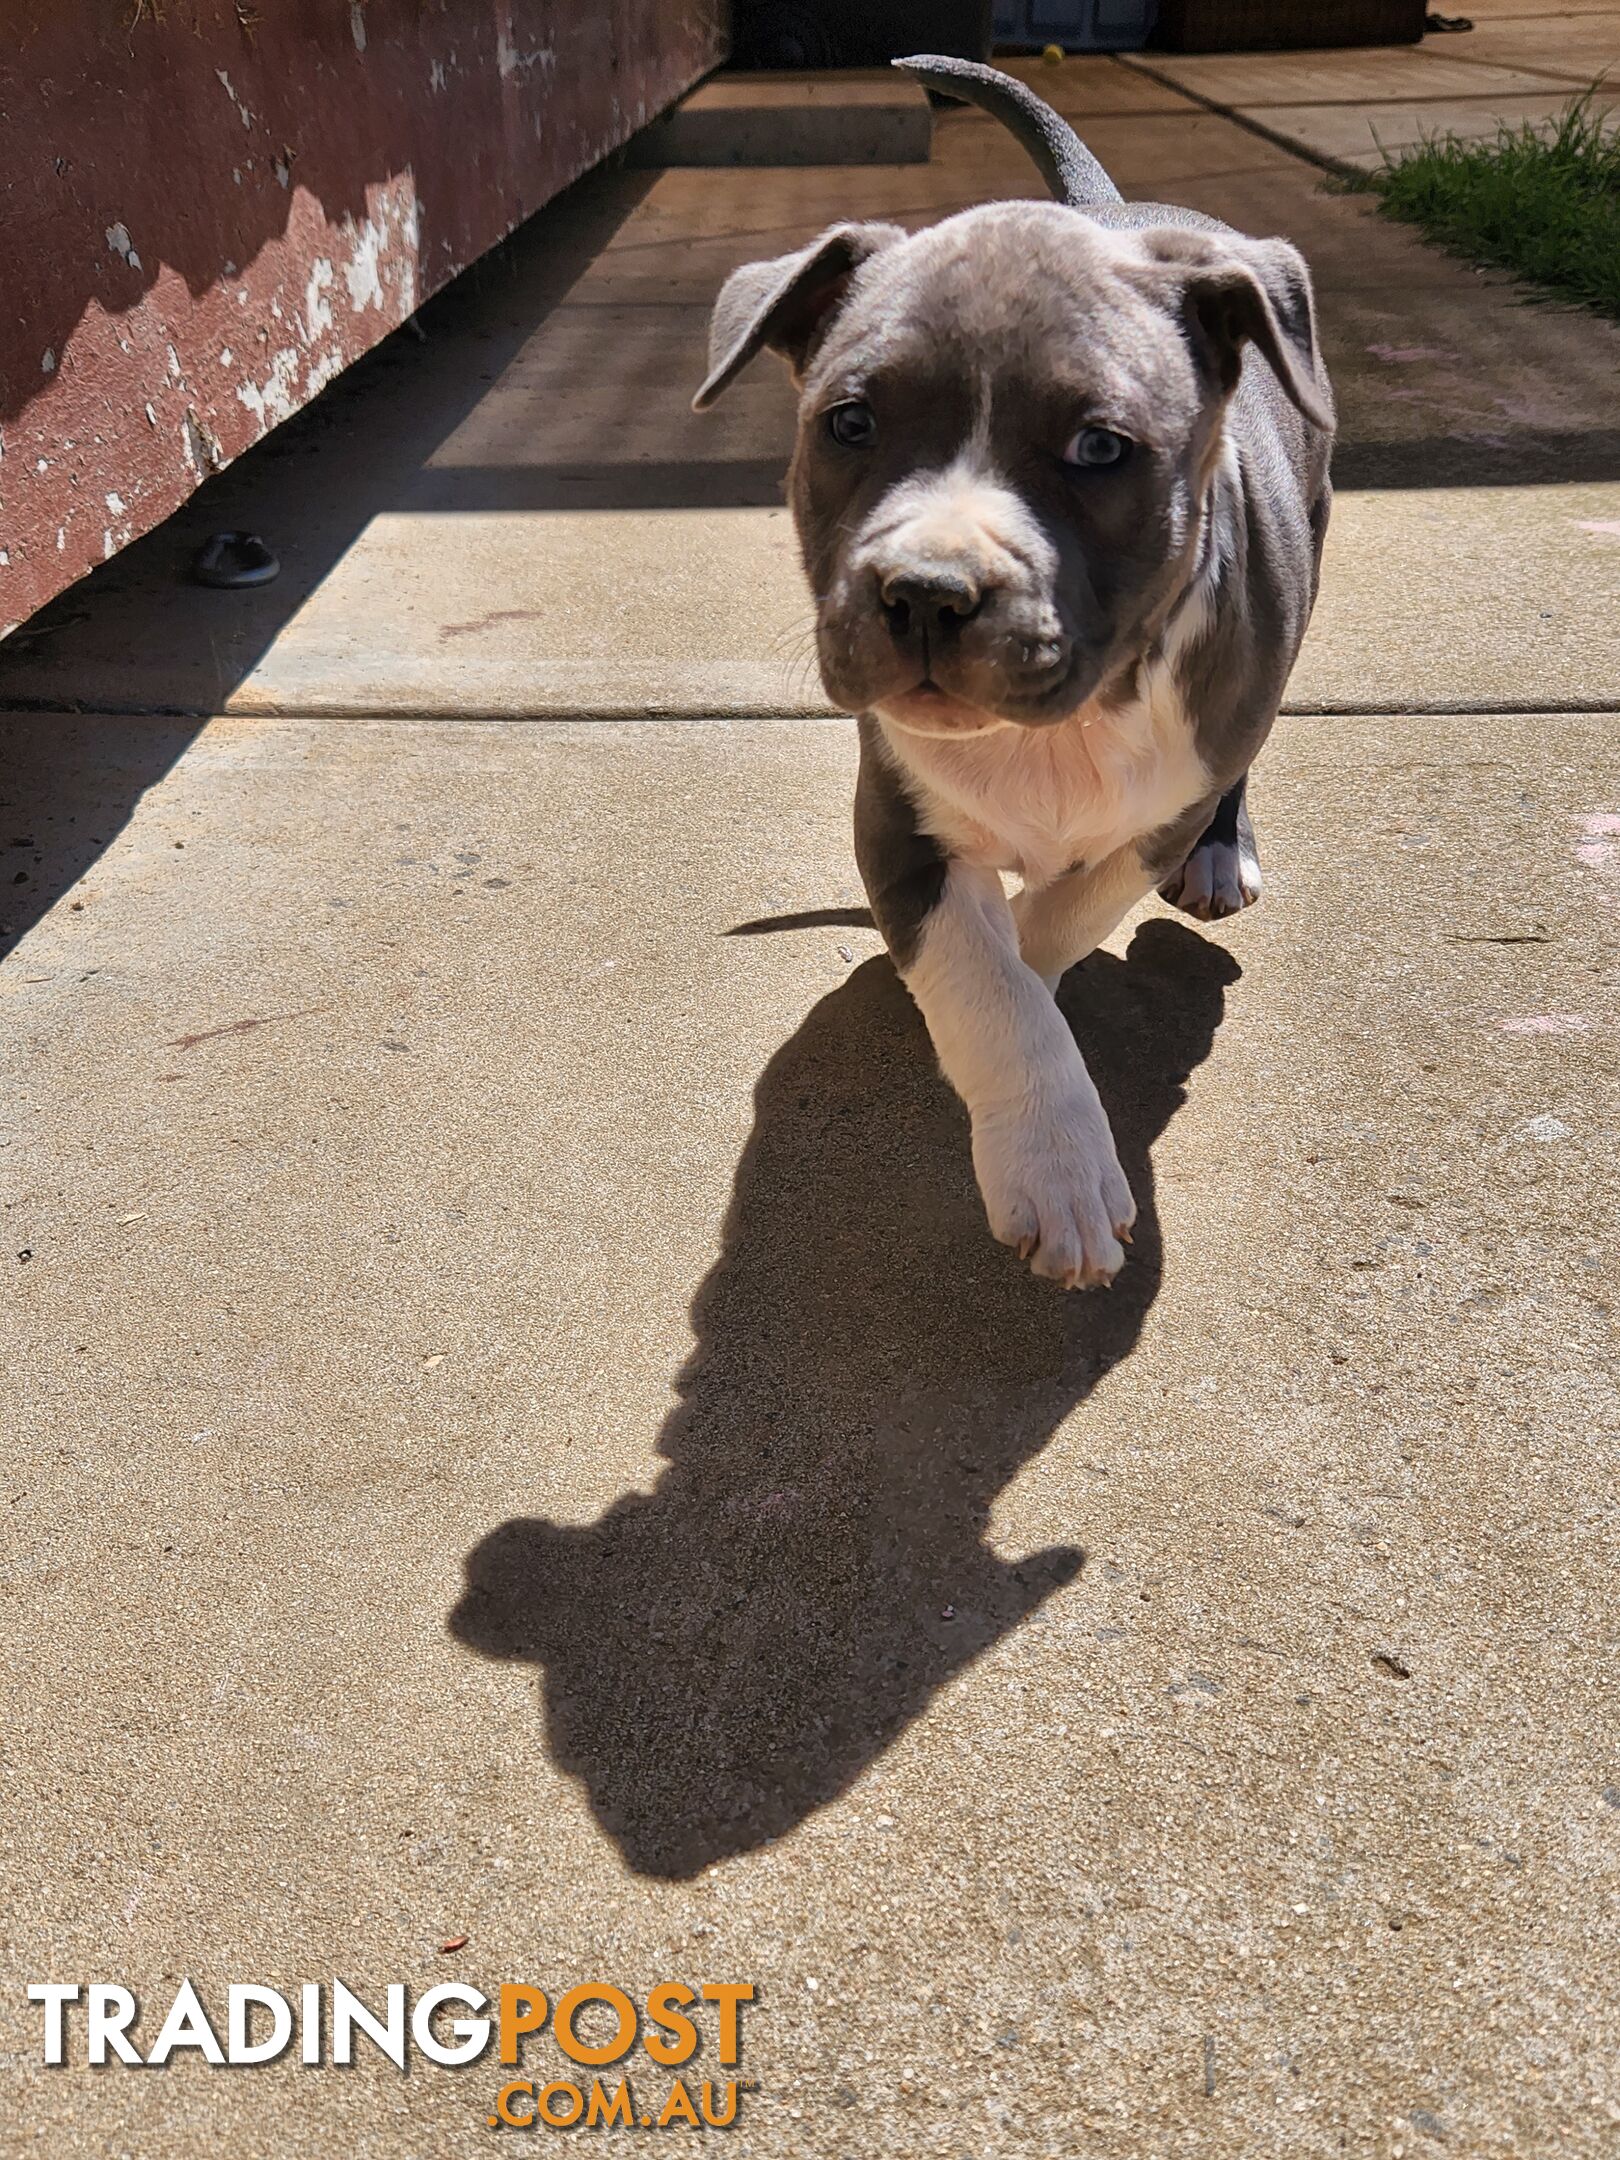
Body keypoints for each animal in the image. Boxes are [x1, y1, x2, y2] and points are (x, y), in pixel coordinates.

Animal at [695, 59, 1330, 1287]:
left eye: (1099, 448)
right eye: (849, 423)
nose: (926, 591)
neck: (1060, 728)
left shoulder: (1155, 815)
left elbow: (1053, 930)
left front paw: (1052, 1139)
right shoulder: (895, 817)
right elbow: (990, 977)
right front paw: (1053, 1155)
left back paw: (1225, 853)